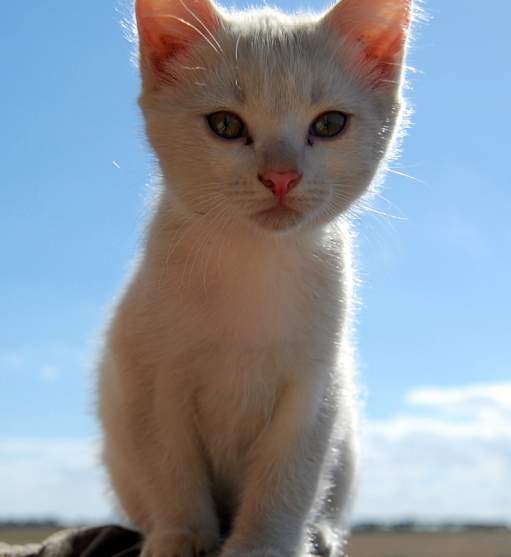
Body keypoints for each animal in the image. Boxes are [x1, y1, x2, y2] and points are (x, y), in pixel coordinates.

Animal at [99, 1, 412, 556]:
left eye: (330, 124)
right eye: (225, 124)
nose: (281, 177)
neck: (254, 260)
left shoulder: (315, 385)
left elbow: (288, 476)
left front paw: (264, 544)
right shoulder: (145, 377)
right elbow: (169, 468)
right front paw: (181, 534)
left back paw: (322, 532)